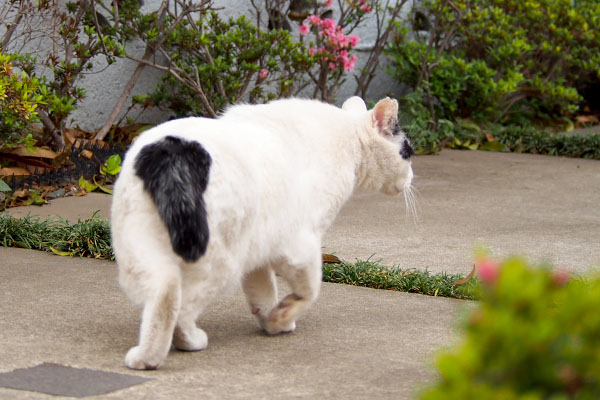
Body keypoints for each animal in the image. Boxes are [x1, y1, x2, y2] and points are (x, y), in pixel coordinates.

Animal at [110, 95, 414, 370]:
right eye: (408, 153)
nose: (413, 177)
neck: (347, 137)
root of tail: (171, 153)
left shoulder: (259, 250)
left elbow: (264, 290)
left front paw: (271, 319)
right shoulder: (300, 245)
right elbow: (310, 290)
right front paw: (282, 315)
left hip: (141, 251)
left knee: (163, 292)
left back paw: (142, 358)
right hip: (218, 261)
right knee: (178, 304)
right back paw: (176, 347)